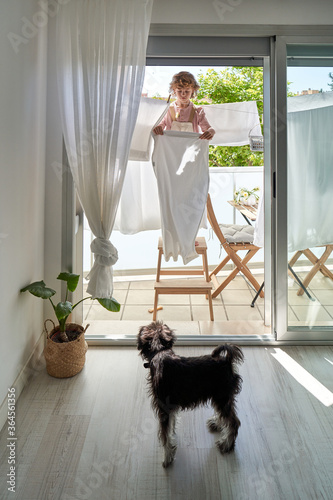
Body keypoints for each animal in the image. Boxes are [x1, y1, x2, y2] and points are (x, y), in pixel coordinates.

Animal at [136, 322, 243, 466]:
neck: (159, 352)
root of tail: (227, 361)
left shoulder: (163, 408)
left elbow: (164, 436)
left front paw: (167, 457)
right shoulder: (170, 407)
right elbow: (171, 425)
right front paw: (172, 436)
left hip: (222, 396)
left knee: (233, 422)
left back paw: (226, 445)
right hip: (222, 398)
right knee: (226, 415)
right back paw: (217, 423)